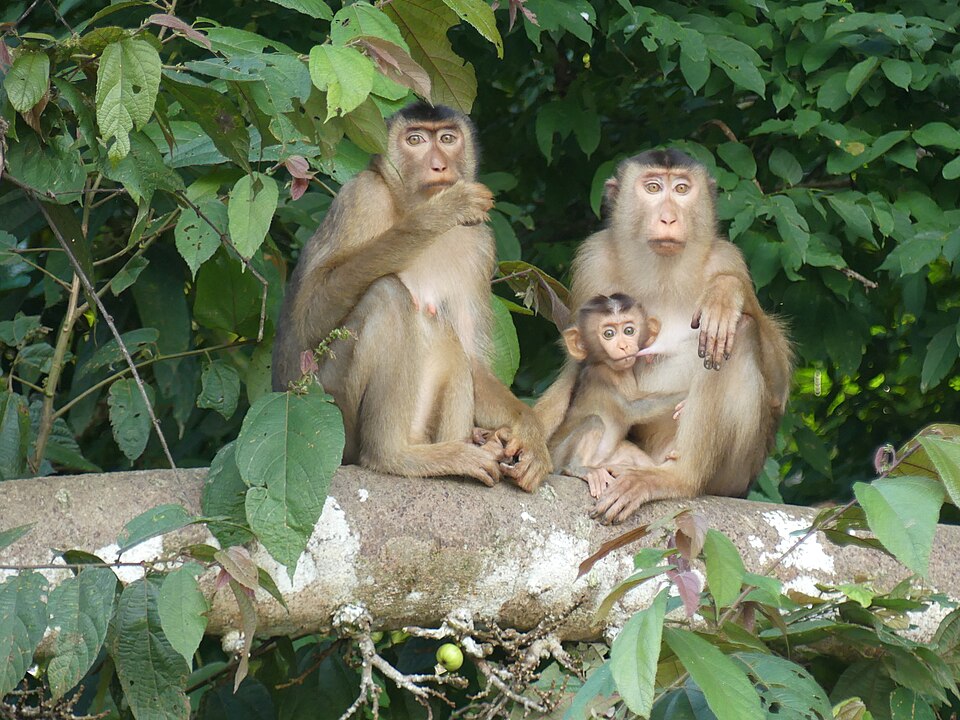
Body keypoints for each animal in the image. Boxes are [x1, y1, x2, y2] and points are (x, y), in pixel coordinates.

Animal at [272, 102, 551, 490]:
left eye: (447, 139)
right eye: (415, 140)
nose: (439, 166)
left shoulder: (481, 243)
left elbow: (474, 359)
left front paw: (530, 433)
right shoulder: (362, 197)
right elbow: (308, 319)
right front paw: (438, 213)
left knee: (453, 347)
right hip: (327, 410)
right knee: (388, 295)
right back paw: (393, 455)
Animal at [548, 293, 684, 498]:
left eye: (629, 330)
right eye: (609, 334)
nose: (623, 346)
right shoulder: (603, 376)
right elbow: (634, 409)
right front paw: (684, 398)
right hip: (557, 457)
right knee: (594, 421)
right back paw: (577, 468)